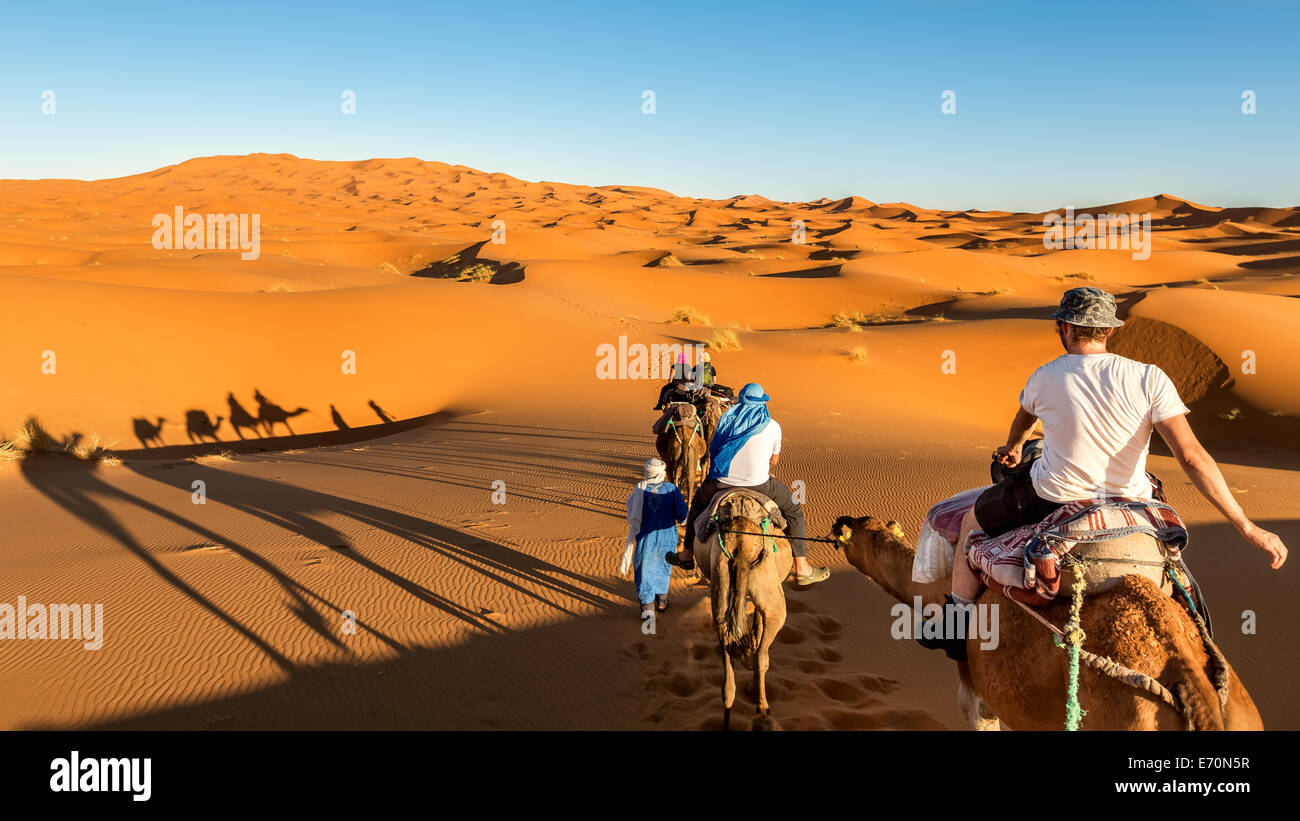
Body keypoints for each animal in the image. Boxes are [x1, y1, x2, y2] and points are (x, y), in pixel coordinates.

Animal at [696, 491, 795, 727]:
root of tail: (742, 546)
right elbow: (758, 631)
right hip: (774, 601)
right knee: (762, 654)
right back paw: (763, 708)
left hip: (721, 585)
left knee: (727, 677)